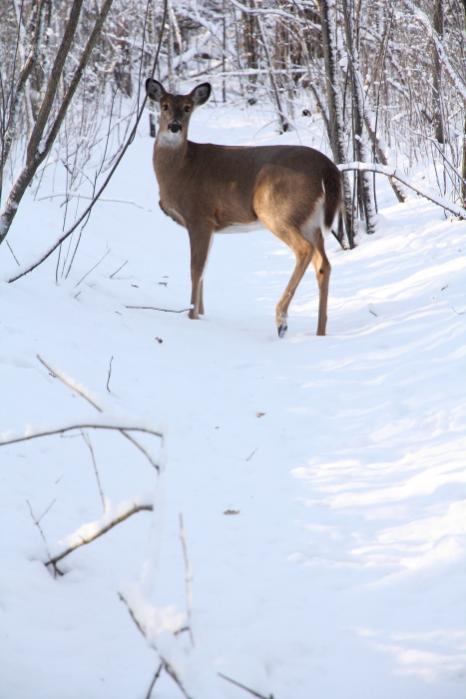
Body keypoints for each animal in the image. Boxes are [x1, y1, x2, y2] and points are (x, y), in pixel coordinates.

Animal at [145, 79, 342, 337]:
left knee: (304, 250)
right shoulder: (209, 225)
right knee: (323, 265)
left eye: (187, 108)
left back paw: (281, 320)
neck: (180, 169)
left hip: (277, 210)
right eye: (164, 105)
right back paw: (320, 332)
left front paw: (191, 316)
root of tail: (328, 168)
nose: (174, 126)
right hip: (311, 221)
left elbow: (196, 268)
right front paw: (202, 315)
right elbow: (205, 268)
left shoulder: (200, 215)